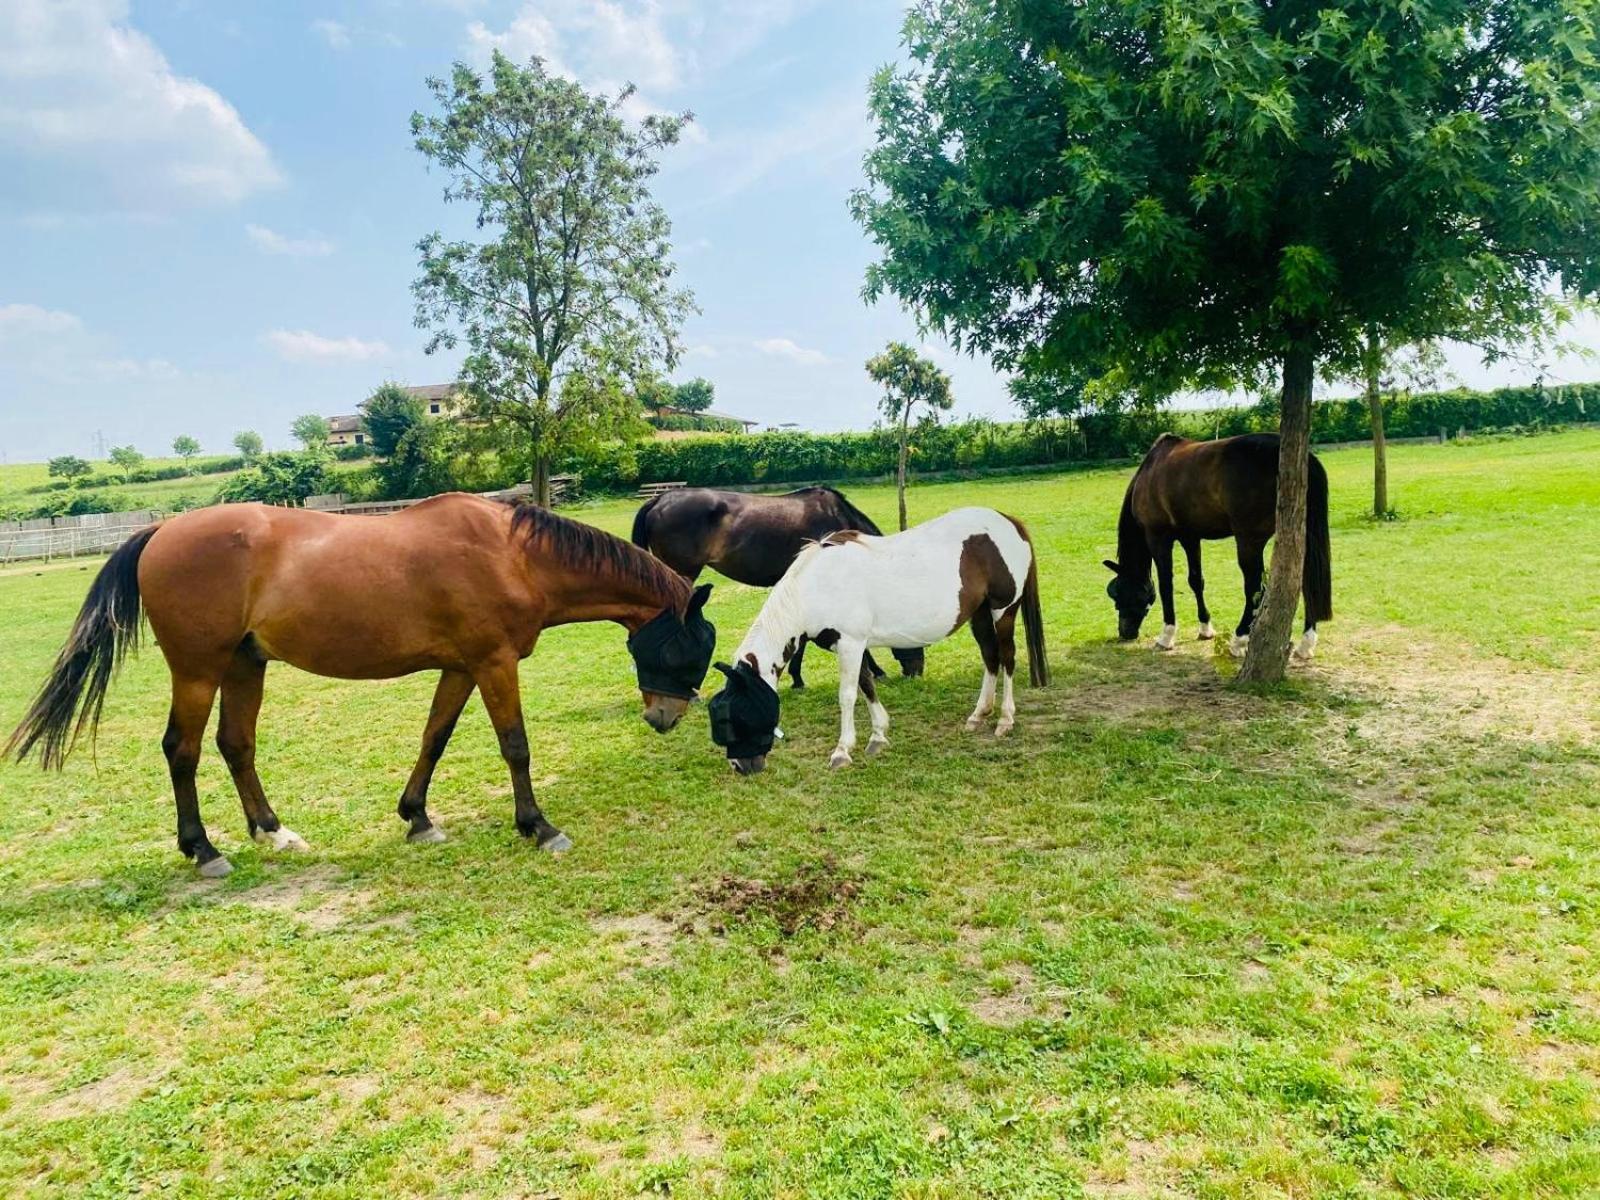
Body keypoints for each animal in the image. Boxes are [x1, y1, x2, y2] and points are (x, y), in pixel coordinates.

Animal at [5, 495, 716, 876]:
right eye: (688, 647)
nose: (665, 718)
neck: (512, 554)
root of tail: (162, 530)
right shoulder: (493, 664)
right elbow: (515, 745)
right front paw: (538, 826)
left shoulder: (461, 667)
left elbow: (434, 738)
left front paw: (418, 818)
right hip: (199, 670)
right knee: (181, 750)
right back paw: (203, 850)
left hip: (244, 665)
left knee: (236, 745)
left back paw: (272, 831)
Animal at [707, 507, 1049, 776]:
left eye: (737, 714)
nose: (739, 766)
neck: (817, 585)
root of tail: (1008, 521)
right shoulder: (852, 645)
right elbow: (866, 685)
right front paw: (878, 736)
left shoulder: (850, 644)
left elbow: (847, 695)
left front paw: (842, 751)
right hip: (979, 613)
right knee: (990, 657)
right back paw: (979, 715)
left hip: (1003, 610)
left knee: (1007, 658)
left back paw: (1005, 719)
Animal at [1103, 433, 1330, 660]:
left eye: (1120, 594)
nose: (1125, 632)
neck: (1149, 472)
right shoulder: (1190, 537)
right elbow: (1196, 581)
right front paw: (1205, 628)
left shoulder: (1158, 538)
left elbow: (1166, 585)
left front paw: (1166, 636)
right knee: (1305, 583)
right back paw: (1306, 643)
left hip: (1249, 542)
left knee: (1255, 588)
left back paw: (1239, 639)